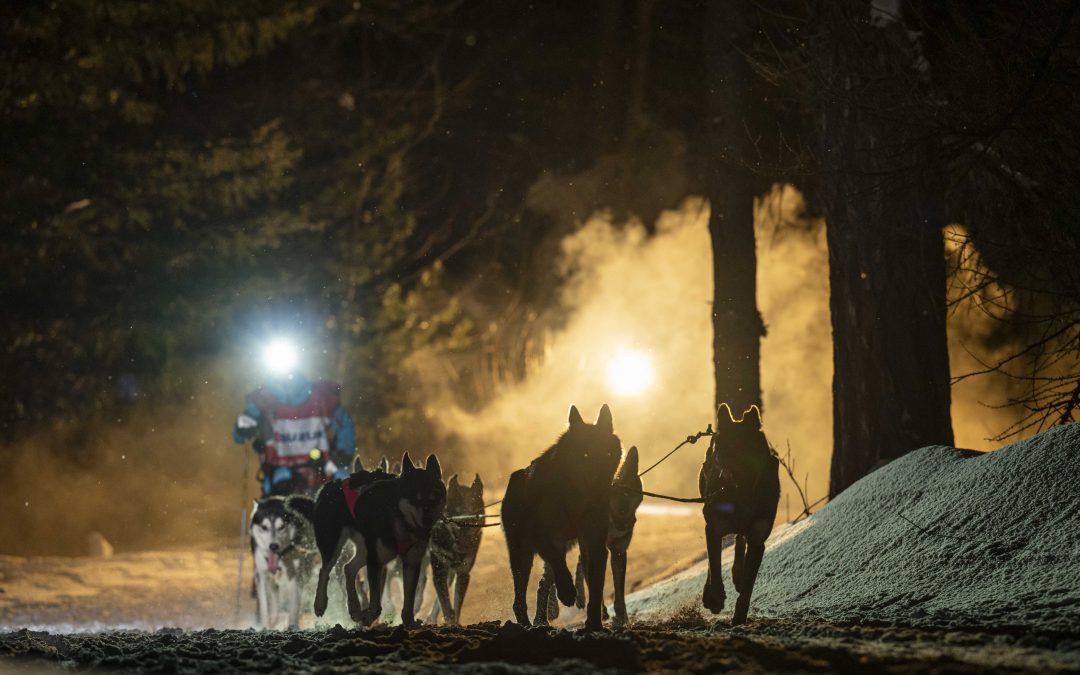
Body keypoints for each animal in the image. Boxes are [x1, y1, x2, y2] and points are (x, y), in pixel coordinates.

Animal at [250, 492, 317, 630]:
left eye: (281, 527)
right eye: (264, 527)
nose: (273, 546)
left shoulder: (295, 578)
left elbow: (293, 608)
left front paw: (292, 626)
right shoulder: (262, 577)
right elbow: (266, 607)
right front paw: (266, 626)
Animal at [313, 449, 447, 630]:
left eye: (434, 497)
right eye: (414, 498)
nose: (427, 519)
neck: (398, 518)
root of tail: (332, 485)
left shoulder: (411, 562)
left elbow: (409, 601)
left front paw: (409, 622)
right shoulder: (376, 563)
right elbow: (375, 604)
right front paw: (368, 618)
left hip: (366, 551)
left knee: (348, 568)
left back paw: (354, 608)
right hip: (334, 546)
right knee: (325, 571)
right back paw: (320, 603)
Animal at [501, 401, 622, 630]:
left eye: (607, 455)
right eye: (585, 455)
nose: (602, 489)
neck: (573, 497)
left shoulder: (595, 544)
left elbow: (595, 588)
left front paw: (594, 623)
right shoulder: (540, 537)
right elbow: (558, 564)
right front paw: (566, 592)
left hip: (574, 547)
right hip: (522, 556)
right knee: (519, 599)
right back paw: (528, 624)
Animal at [699, 401, 777, 622]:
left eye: (739, 443)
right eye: (718, 444)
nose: (721, 477)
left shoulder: (758, 540)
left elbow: (748, 588)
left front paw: (740, 617)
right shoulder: (713, 528)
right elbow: (715, 566)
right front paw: (715, 597)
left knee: (740, 540)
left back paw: (737, 573)